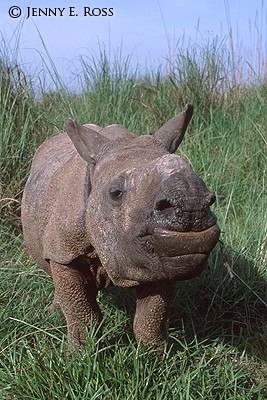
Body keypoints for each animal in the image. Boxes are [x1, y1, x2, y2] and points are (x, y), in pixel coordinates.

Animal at [22, 104, 221, 348]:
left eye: (210, 197)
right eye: (115, 193)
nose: (191, 204)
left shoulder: (165, 253)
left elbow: (151, 315)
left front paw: (156, 352)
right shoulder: (64, 250)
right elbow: (81, 309)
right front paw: (81, 352)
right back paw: (54, 311)